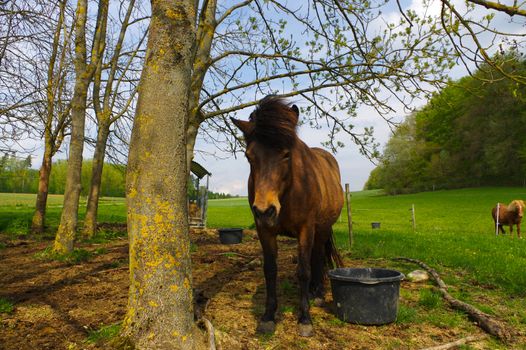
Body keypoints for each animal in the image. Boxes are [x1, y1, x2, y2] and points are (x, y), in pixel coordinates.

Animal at [233, 97, 344, 338]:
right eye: (249, 156)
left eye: (286, 154)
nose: (265, 210)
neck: (289, 191)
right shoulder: (264, 230)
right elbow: (270, 270)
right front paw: (267, 317)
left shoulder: (306, 229)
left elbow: (303, 270)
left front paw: (305, 319)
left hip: (321, 230)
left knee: (317, 257)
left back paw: (317, 294)